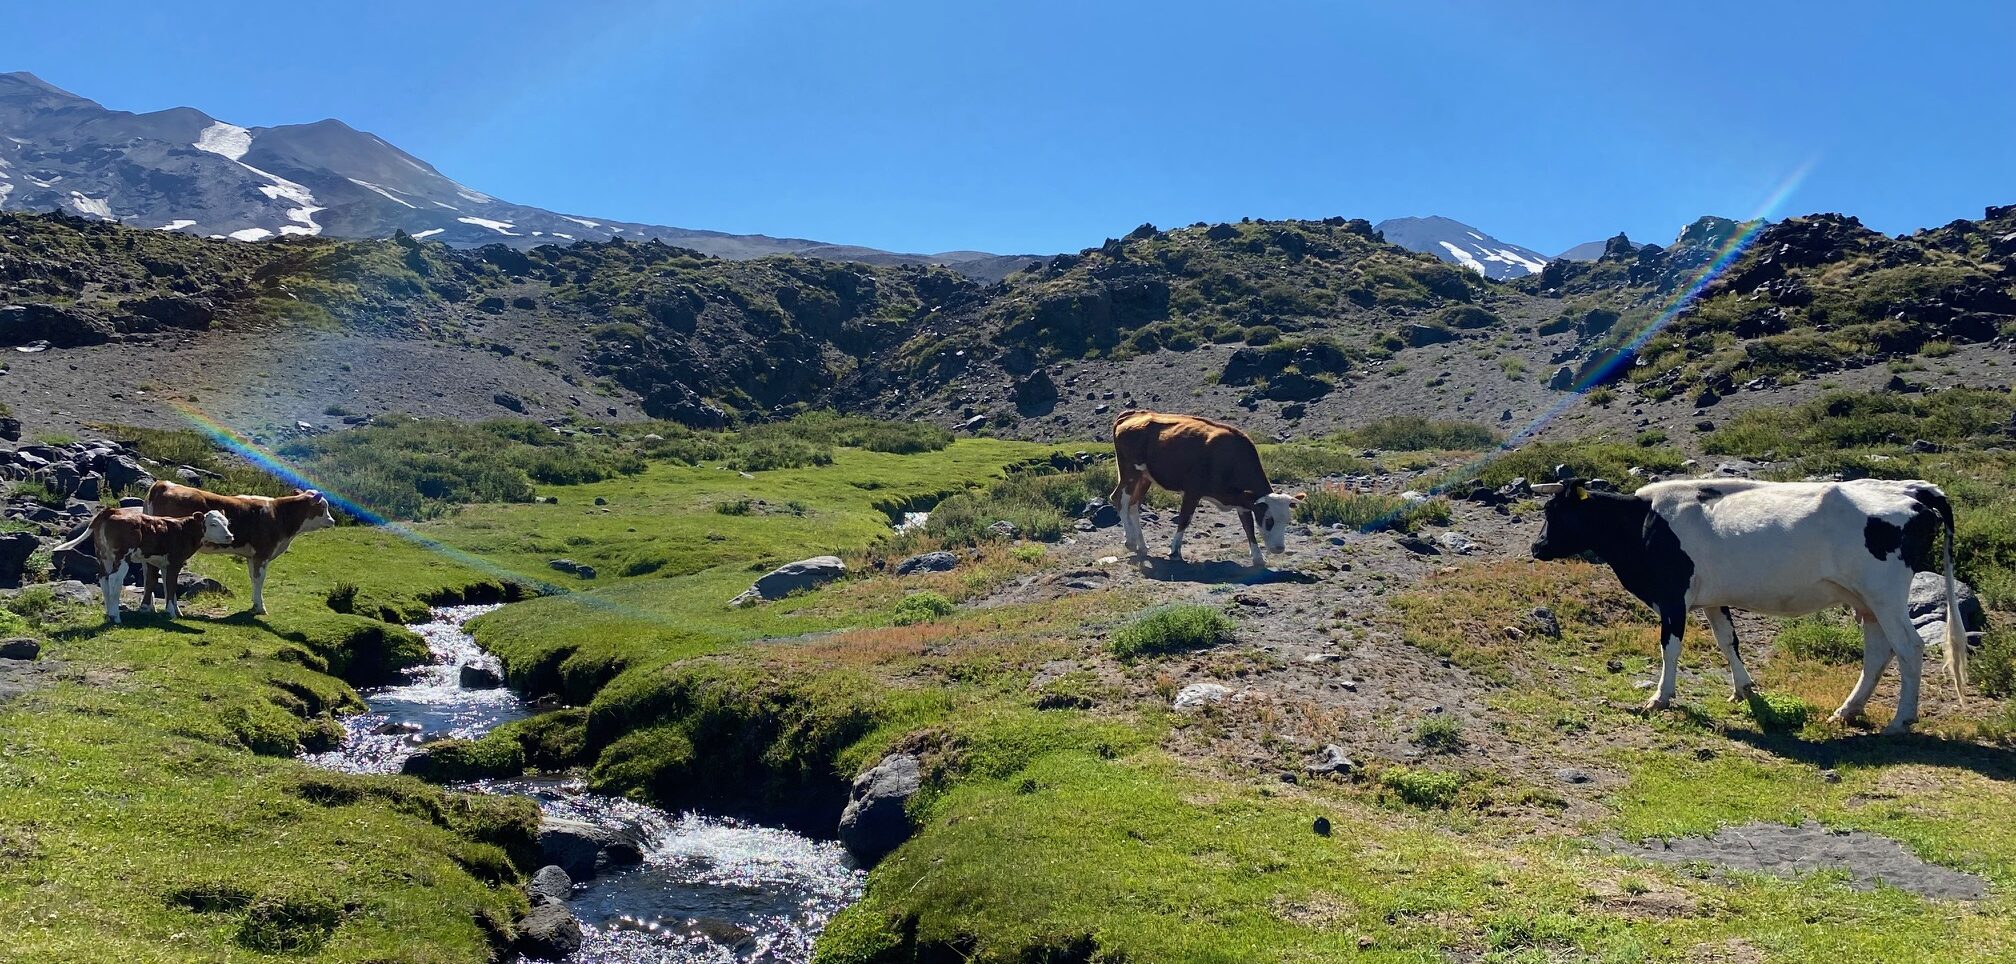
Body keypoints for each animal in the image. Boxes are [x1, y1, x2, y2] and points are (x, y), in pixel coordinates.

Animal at [51, 508, 233, 621]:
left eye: (226, 523)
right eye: (213, 524)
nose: (230, 536)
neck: (183, 530)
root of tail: (112, 510)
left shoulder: (164, 564)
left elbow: (168, 587)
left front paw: (177, 611)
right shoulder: (175, 562)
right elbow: (171, 587)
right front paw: (171, 613)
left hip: (104, 555)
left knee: (103, 577)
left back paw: (109, 613)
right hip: (122, 557)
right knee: (114, 579)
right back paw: (115, 616)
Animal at [144, 482, 336, 617]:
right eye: (323, 506)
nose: (332, 521)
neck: (278, 514)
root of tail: (163, 484)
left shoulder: (251, 556)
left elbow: (253, 577)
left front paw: (254, 603)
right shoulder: (262, 553)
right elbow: (259, 579)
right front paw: (260, 607)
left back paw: (154, 607)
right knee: (156, 574)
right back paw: (156, 607)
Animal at [1104, 411, 1306, 568]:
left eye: (1287, 521)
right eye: (1269, 520)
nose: (1279, 549)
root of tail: (1133, 414)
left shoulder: (1243, 502)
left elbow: (1248, 527)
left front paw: (1258, 557)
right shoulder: (1193, 491)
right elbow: (1184, 519)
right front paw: (1174, 551)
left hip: (1146, 477)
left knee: (1133, 505)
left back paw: (1142, 546)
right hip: (1130, 471)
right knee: (1119, 499)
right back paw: (1130, 541)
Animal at [1532, 473, 1959, 730]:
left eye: (1555, 512)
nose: (1536, 547)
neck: (1642, 523)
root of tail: (1913, 490)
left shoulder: (1672, 597)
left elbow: (1670, 647)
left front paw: (1660, 698)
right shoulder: (1712, 599)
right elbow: (1728, 641)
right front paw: (1744, 689)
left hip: (1885, 594)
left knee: (1909, 647)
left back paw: (1901, 721)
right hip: (1866, 600)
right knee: (1878, 652)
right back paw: (1847, 710)